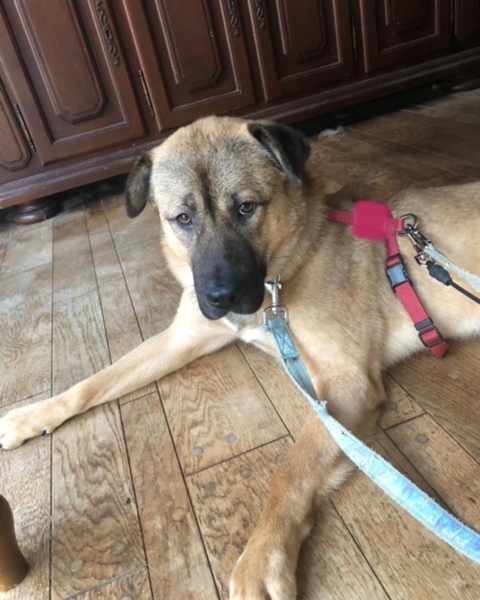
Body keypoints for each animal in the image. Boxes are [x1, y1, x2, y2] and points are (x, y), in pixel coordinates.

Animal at [1, 116, 480, 599]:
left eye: (247, 208)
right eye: (183, 218)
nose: (220, 297)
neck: (280, 277)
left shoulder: (348, 387)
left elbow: (291, 472)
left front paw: (262, 559)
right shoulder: (182, 337)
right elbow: (94, 381)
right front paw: (30, 417)